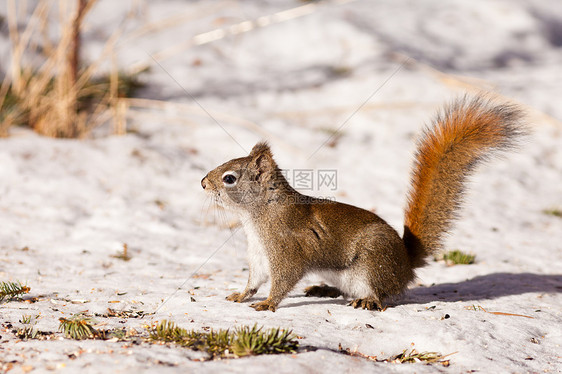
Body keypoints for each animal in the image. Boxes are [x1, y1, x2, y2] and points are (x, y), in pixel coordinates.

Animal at [199, 95, 524, 312]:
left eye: (229, 178)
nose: (203, 183)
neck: (257, 217)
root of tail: (405, 265)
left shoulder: (287, 250)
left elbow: (283, 279)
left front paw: (267, 303)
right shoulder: (258, 254)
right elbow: (255, 278)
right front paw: (242, 295)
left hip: (373, 262)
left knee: (382, 295)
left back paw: (367, 300)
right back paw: (322, 288)